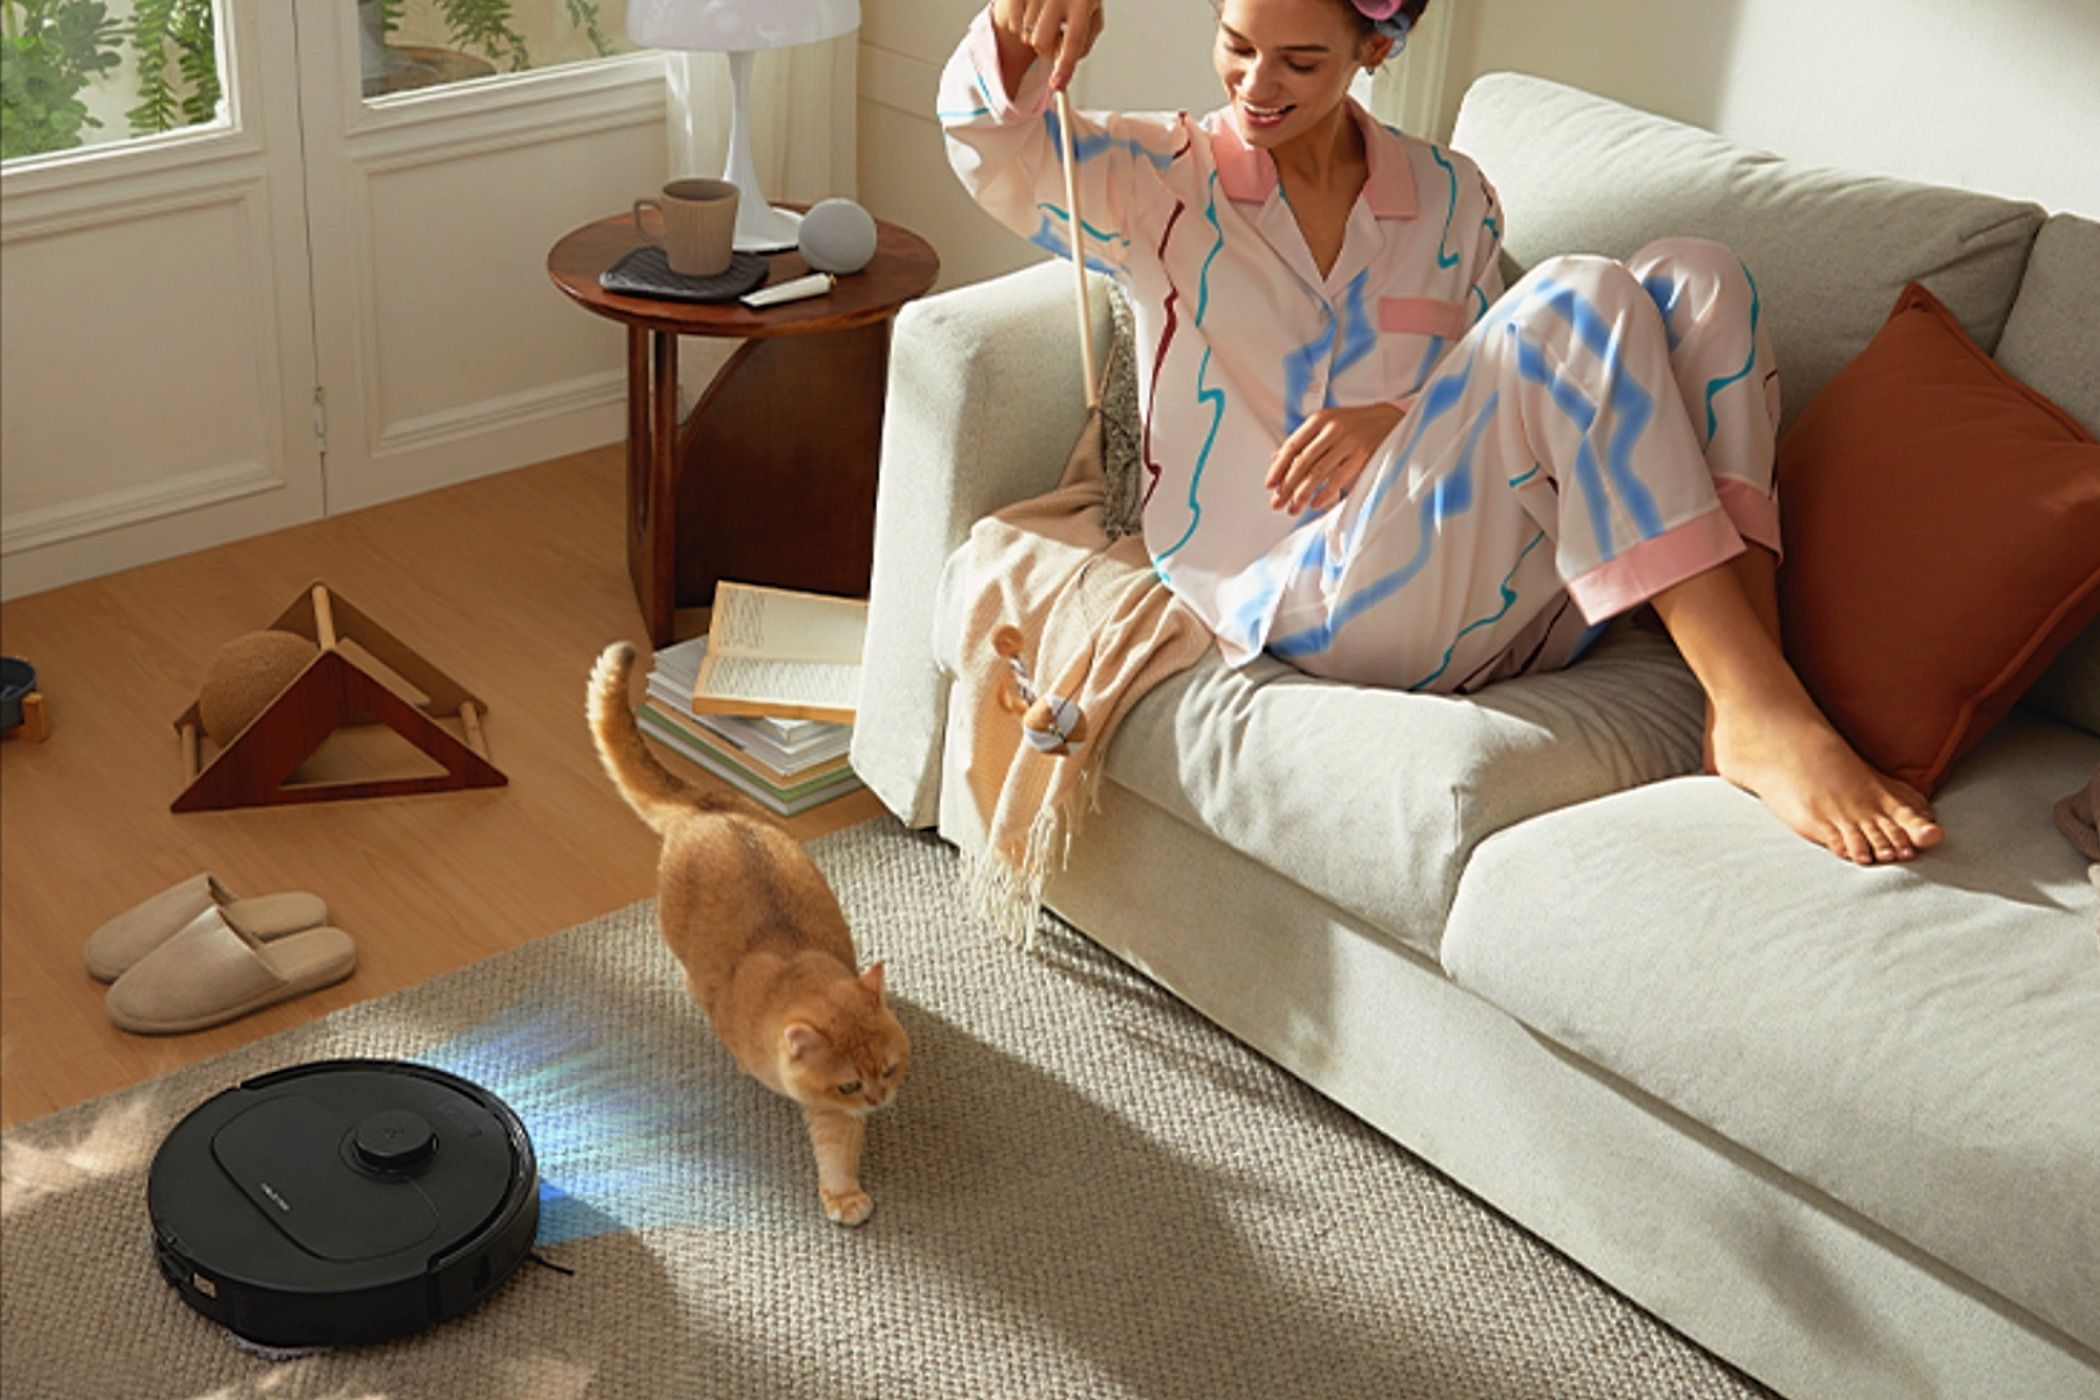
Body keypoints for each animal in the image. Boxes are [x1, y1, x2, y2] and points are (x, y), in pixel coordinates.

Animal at [588, 646, 907, 1225]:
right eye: (851, 1083)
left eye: (891, 1070)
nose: (878, 1100)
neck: (793, 969)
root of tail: (705, 808)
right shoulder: (823, 1096)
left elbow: (837, 1148)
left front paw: (843, 1193)